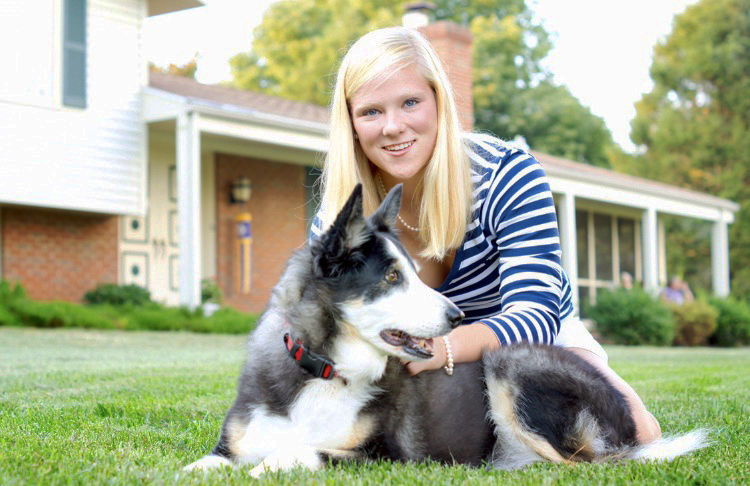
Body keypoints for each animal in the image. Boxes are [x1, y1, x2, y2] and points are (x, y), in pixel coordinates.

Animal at [185, 182, 708, 474]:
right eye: (392, 278)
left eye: (413, 274)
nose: (456, 317)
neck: (326, 369)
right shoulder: (230, 447)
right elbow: (202, 465)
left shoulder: (383, 458)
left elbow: (295, 453)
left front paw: (268, 467)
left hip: (511, 366)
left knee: (587, 465)